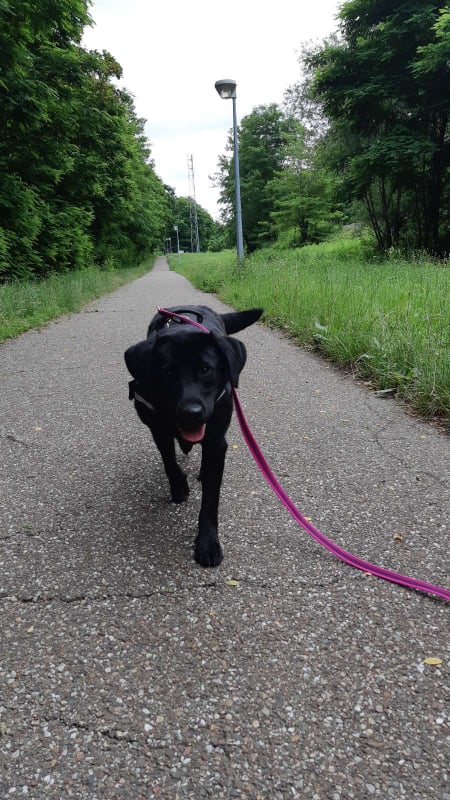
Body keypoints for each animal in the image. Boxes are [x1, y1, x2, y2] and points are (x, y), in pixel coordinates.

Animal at [125, 304, 262, 564]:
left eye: (206, 369)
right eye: (167, 372)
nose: (192, 412)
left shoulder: (216, 442)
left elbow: (210, 499)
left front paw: (208, 543)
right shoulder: (158, 430)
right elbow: (169, 461)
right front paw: (179, 485)